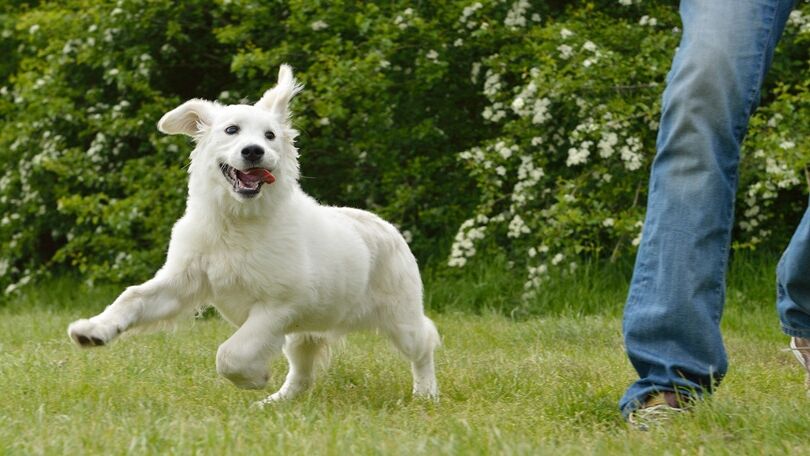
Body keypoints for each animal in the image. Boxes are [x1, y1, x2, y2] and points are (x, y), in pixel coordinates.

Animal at [67, 65, 439, 406]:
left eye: (270, 136)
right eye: (232, 130)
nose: (253, 151)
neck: (235, 223)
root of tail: (388, 227)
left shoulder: (279, 307)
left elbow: (231, 354)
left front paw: (254, 377)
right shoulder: (182, 283)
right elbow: (133, 298)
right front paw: (93, 330)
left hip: (400, 315)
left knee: (424, 343)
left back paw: (426, 394)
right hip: (306, 334)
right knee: (302, 374)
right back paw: (275, 403)